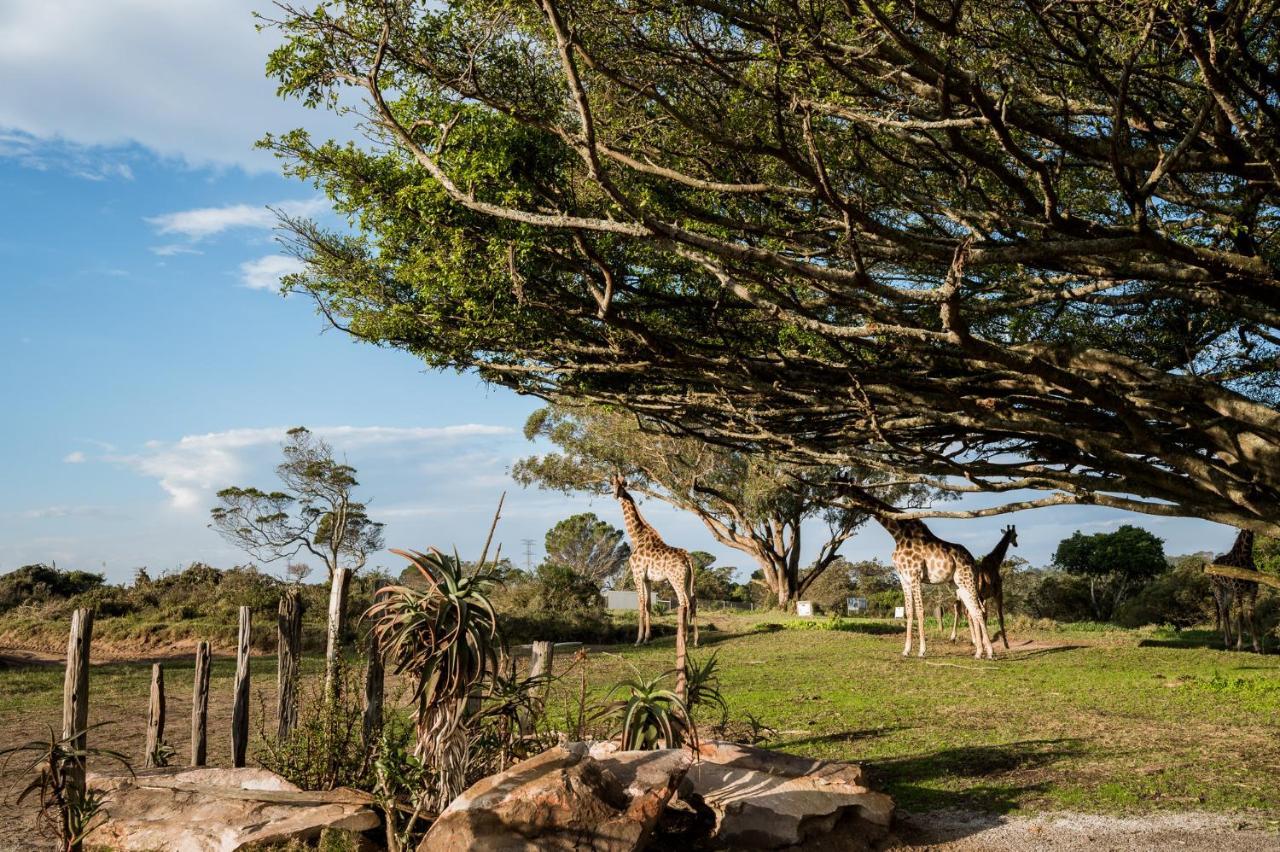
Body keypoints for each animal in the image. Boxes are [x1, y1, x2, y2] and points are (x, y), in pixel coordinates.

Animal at [611, 470, 701, 644]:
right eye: (612, 484)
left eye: (622, 485)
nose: (615, 495)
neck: (636, 536)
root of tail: (688, 558)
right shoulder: (647, 579)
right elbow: (648, 604)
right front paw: (647, 638)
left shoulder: (637, 574)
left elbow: (640, 604)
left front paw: (638, 640)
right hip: (688, 581)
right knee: (692, 601)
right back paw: (694, 640)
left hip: (676, 579)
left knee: (683, 602)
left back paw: (683, 638)